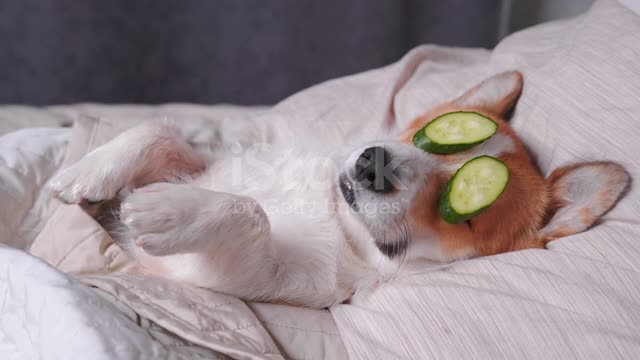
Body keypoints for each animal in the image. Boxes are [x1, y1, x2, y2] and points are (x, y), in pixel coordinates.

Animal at [47, 71, 628, 310]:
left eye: (461, 211)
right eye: (429, 134)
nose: (374, 162)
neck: (331, 208)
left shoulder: (242, 276)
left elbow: (249, 211)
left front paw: (170, 211)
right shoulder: (209, 163)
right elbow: (159, 130)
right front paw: (88, 172)